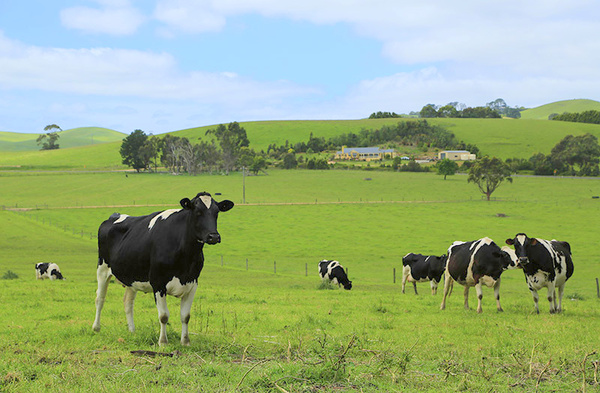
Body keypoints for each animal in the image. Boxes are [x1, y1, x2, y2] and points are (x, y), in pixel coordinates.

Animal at [92, 191, 233, 344]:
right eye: (198, 212)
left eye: (216, 212)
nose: (214, 236)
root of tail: (115, 215)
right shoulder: (158, 282)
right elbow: (164, 316)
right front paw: (163, 342)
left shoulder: (193, 283)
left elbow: (185, 316)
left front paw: (185, 341)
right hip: (102, 269)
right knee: (100, 298)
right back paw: (96, 328)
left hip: (131, 276)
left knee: (128, 302)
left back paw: (132, 331)